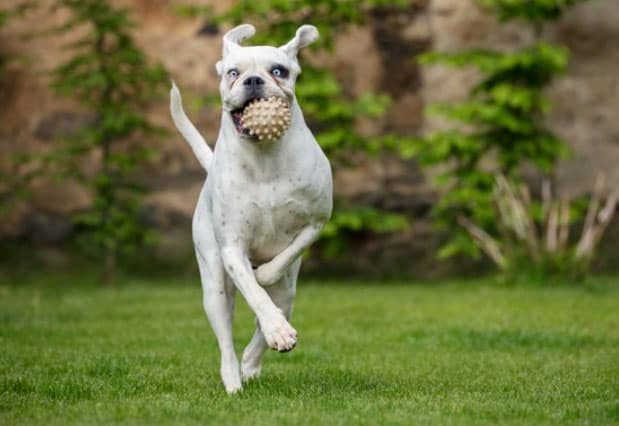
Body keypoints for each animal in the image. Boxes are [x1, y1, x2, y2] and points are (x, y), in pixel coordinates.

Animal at [170, 24, 332, 392]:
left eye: (279, 71)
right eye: (233, 73)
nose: (254, 80)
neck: (264, 157)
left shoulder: (316, 221)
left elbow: (281, 262)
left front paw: (268, 285)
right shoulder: (232, 249)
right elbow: (256, 296)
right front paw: (277, 330)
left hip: (289, 289)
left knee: (277, 303)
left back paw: (252, 362)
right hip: (214, 287)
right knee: (227, 336)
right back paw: (234, 379)